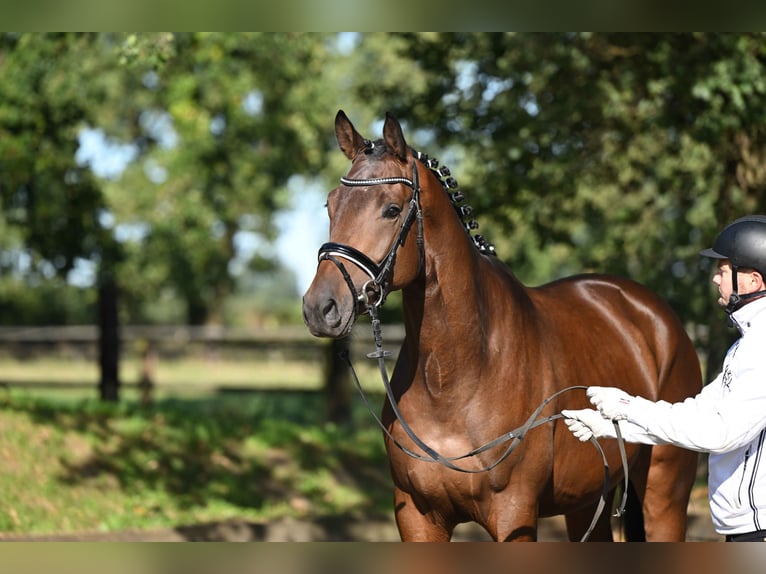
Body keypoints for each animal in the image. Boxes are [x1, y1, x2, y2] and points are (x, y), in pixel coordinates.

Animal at [304, 110, 704, 544]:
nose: (320, 307)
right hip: (586, 501)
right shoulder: (416, 515)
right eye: (331, 204)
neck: (453, 375)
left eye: (392, 209)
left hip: (664, 493)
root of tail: (655, 316)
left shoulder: (513, 513)